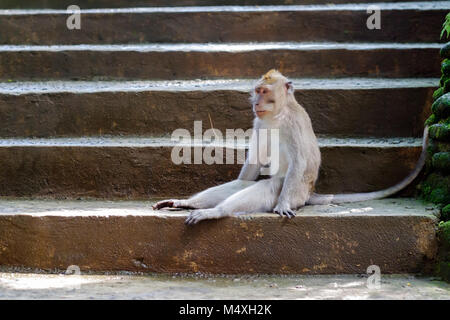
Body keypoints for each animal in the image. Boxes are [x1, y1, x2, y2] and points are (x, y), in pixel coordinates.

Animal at [152, 69, 428, 225]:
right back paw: (187, 204)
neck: (278, 114)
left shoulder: (293, 124)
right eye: (257, 91)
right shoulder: (259, 121)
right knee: (242, 185)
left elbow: (299, 162)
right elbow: (252, 166)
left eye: (265, 91)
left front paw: (282, 206)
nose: (256, 102)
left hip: (296, 192)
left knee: (271, 185)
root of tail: (310, 192)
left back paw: (216, 212)